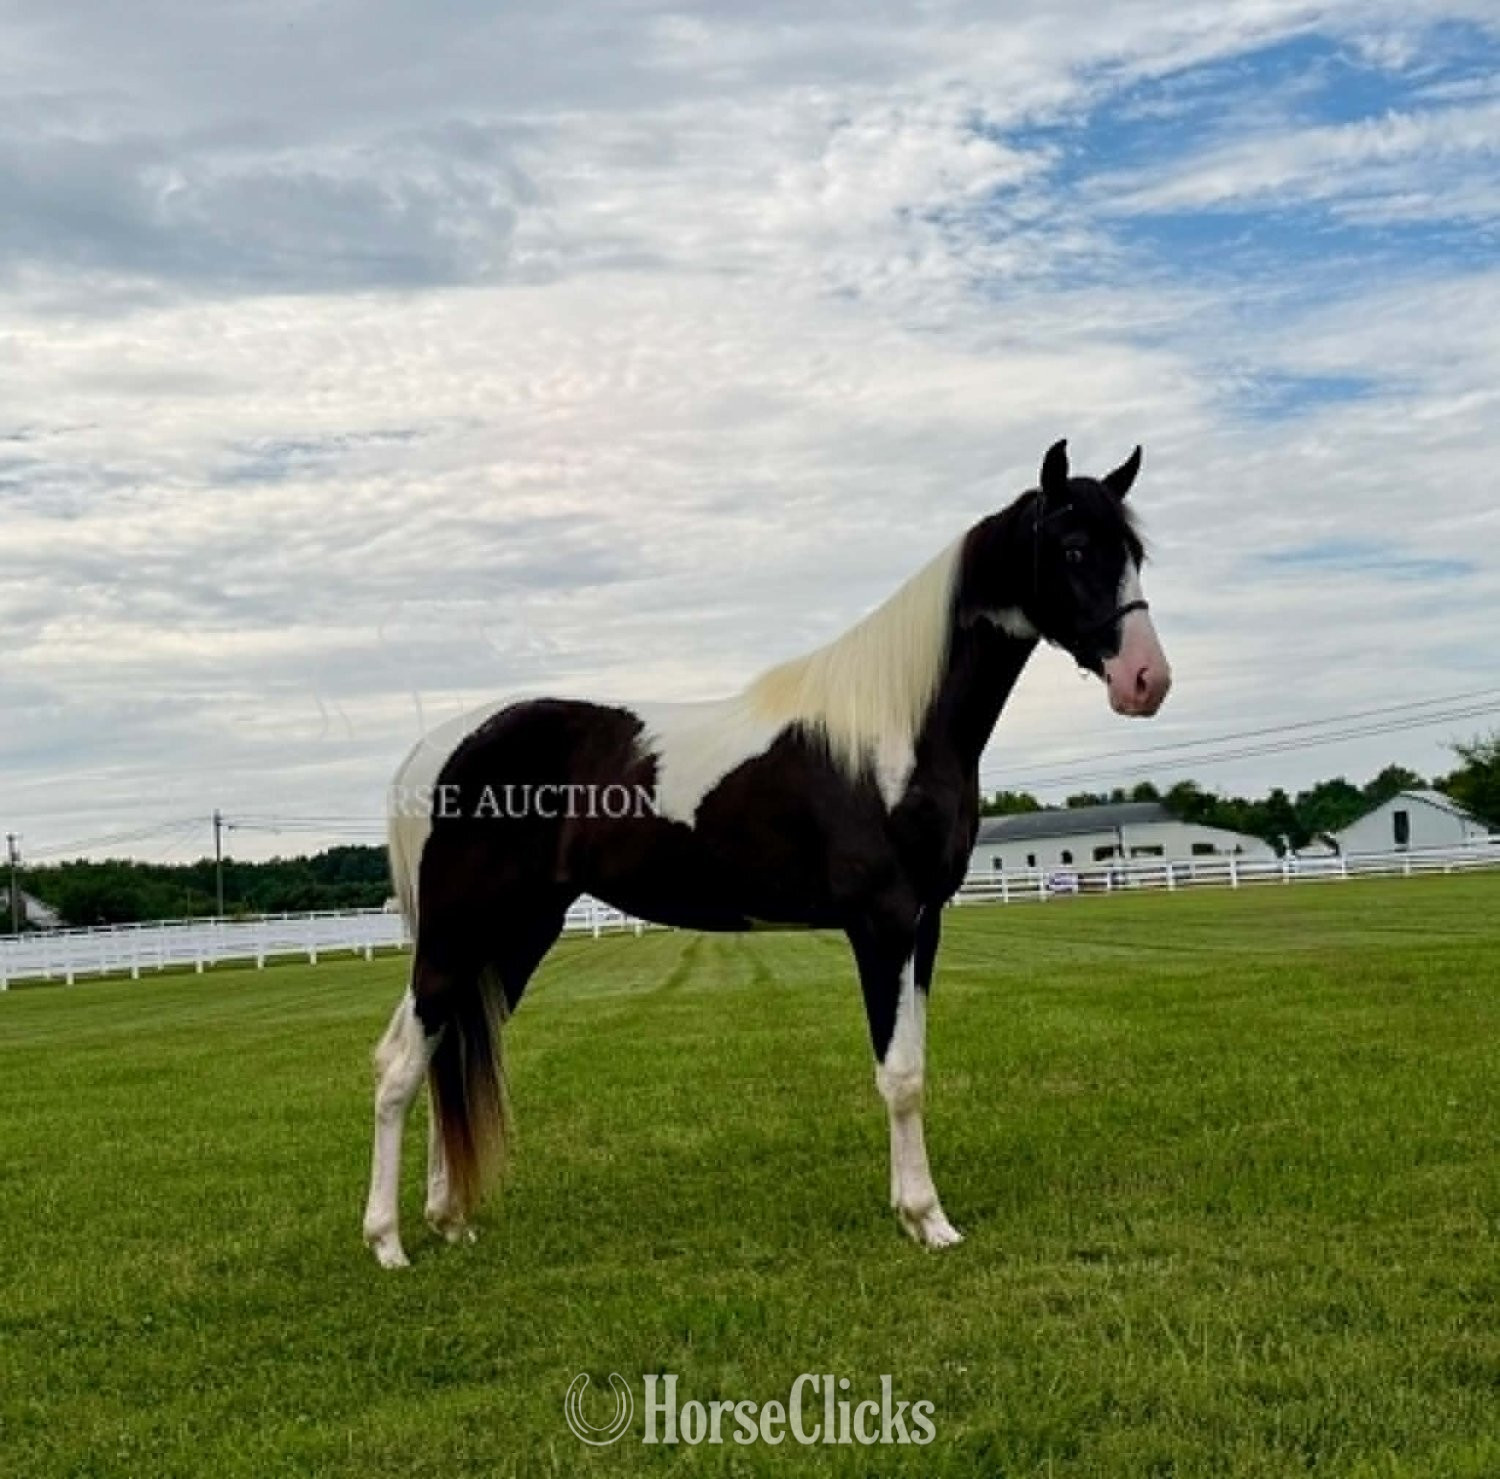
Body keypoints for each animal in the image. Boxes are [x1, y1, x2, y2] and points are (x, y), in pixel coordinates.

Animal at [362, 439, 1171, 1268]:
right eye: (1073, 548)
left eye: (1135, 553)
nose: (1148, 680)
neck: (894, 726)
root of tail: (434, 749)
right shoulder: (882, 921)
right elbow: (900, 1073)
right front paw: (929, 1218)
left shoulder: (926, 923)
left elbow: (913, 1059)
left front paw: (910, 1211)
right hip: (458, 933)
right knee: (401, 1063)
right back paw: (387, 1242)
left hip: (515, 934)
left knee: (447, 1048)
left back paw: (449, 1219)